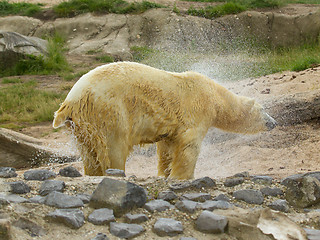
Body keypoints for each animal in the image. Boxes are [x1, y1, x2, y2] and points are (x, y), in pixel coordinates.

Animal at [52, 61, 276, 179]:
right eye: (264, 110)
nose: (274, 123)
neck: (215, 96)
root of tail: (71, 100)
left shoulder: (171, 128)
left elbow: (167, 148)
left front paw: (165, 174)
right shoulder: (196, 111)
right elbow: (188, 147)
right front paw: (183, 176)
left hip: (82, 126)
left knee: (89, 153)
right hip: (109, 111)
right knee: (113, 148)